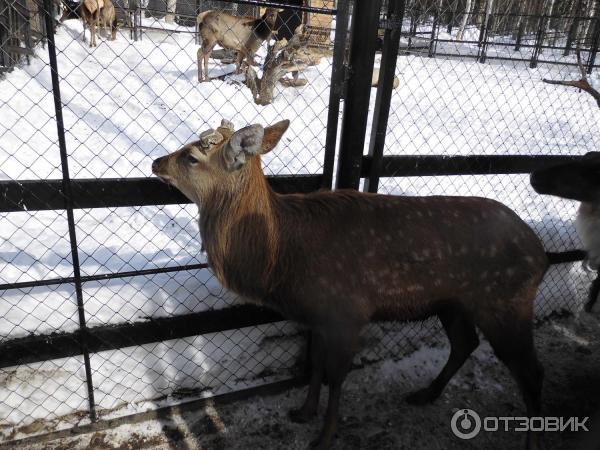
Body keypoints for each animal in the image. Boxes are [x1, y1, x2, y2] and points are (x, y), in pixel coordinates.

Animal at [151, 119, 548, 450]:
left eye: (191, 156)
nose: (156, 163)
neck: (281, 255)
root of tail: (541, 253)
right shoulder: (319, 315)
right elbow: (315, 364)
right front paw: (303, 412)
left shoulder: (346, 311)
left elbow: (337, 375)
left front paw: (324, 437)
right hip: (453, 302)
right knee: (466, 343)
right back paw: (425, 394)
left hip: (506, 301)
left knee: (532, 371)